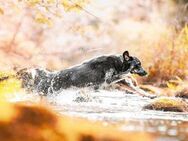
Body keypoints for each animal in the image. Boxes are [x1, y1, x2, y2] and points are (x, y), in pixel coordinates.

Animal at [16, 50, 147, 94]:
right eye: (138, 64)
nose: (146, 73)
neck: (118, 63)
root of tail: (48, 76)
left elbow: (135, 87)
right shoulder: (109, 79)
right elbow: (125, 74)